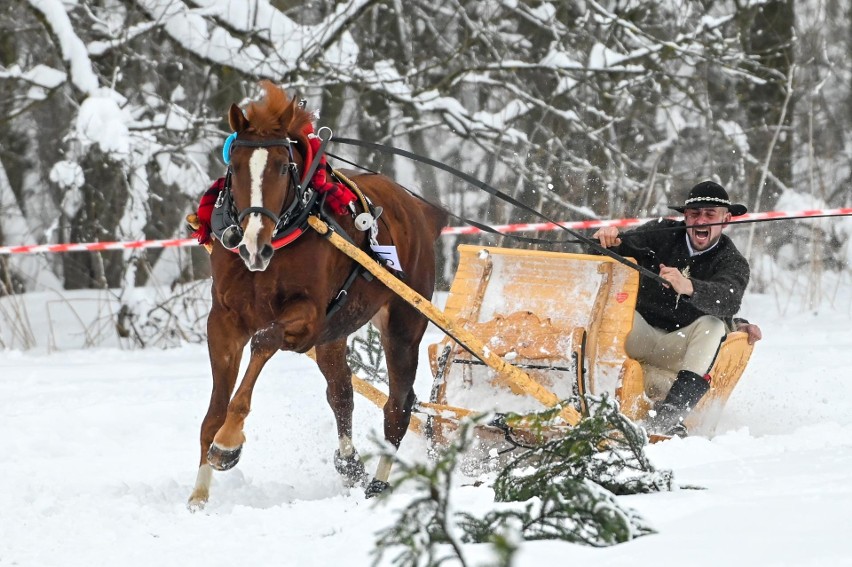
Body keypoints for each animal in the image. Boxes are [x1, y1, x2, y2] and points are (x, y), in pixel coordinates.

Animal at [189, 81, 450, 510]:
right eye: (235, 166)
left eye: (282, 165)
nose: (253, 245)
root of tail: (418, 210)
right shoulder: (224, 321)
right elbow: (213, 410)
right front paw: (199, 493)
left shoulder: (306, 318)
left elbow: (263, 342)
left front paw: (228, 443)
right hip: (334, 334)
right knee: (341, 393)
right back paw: (350, 462)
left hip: (403, 324)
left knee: (399, 404)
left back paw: (378, 484)